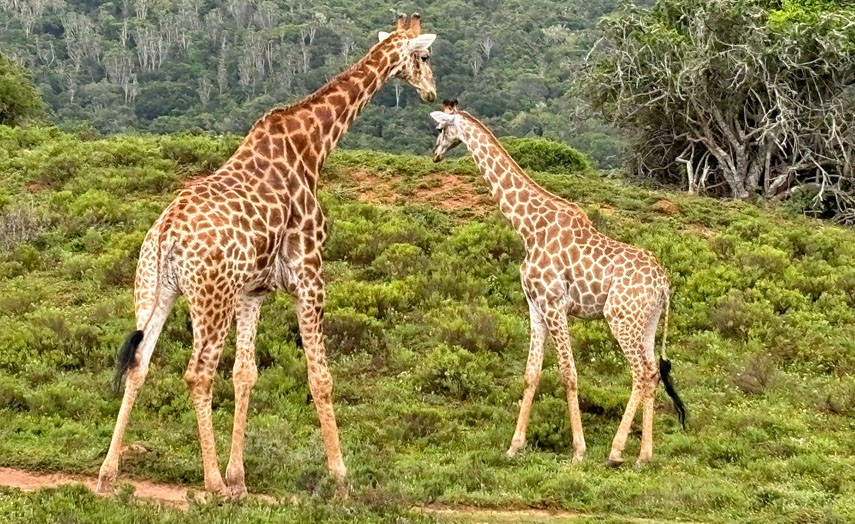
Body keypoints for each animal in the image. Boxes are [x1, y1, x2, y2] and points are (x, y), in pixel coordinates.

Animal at [96, 14, 438, 499]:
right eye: (424, 57)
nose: (431, 92)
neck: (312, 144)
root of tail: (166, 235)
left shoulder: (252, 291)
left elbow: (245, 375)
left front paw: (240, 479)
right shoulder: (309, 275)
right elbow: (320, 377)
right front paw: (340, 478)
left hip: (154, 290)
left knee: (138, 364)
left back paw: (109, 474)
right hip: (210, 298)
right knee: (197, 373)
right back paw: (211, 484)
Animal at [430, 100, 686, 465]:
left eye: (439, 129)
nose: (435, 153)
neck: (528, 228)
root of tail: (664, 284)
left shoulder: (554, 304)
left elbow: (568, 374)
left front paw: (578, 450)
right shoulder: (535, 306)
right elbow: (531, 374)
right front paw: (514, 446)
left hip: (620, 318)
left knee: (640, 372)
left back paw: (615, 451)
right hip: (646, 322)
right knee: (651, 372)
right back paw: (644, 455)